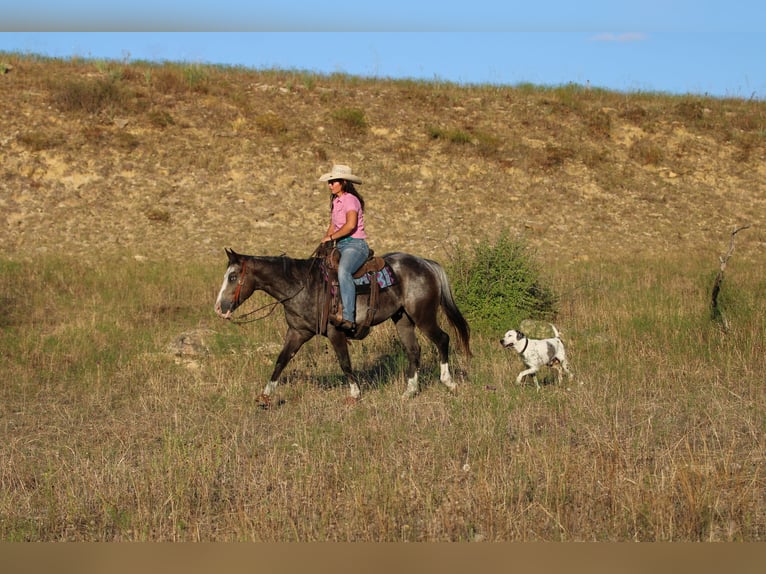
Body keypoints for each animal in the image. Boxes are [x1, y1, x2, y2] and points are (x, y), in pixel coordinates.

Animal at [213, 246, 472, 404]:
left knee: (442, 339)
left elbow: (345, 363)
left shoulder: (335, 331)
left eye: (233, 277)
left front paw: (355, 394)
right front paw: (265, 396)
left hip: (423, 316)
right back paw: (409, 392)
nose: (219, 308)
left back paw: (449, 382)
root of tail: (425, 264)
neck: (302, 285)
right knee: (414, 350)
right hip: (403, 320)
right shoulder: (297, 332)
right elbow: (281, 360)